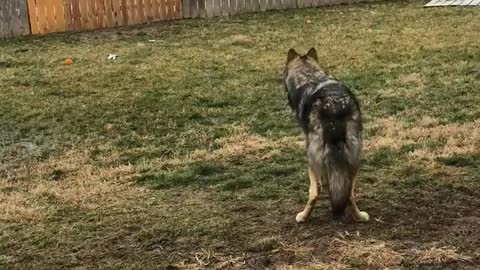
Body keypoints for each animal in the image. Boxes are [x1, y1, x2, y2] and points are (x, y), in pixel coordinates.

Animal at [284, 47, 370, 223]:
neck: (310, 77)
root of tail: (334, 109)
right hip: (354, 158)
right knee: (349, 194)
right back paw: (359, 216)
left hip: (311, 158)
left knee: (314, 193)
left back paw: (303, 216)